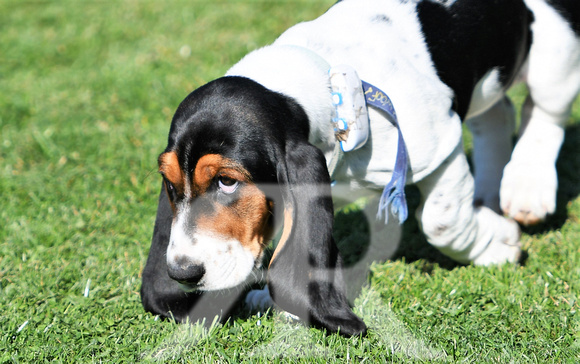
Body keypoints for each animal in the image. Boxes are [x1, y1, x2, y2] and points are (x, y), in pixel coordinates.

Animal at [142, 0, 580, 336]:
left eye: (227, 181)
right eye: (170, 184)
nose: (181, 272)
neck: (322, 91)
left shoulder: (440, 147)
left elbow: (442, 222)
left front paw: (498, 245)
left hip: (555, 47)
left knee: (545, 110)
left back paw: (527, 187)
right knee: (496, 115)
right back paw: (490, 192)